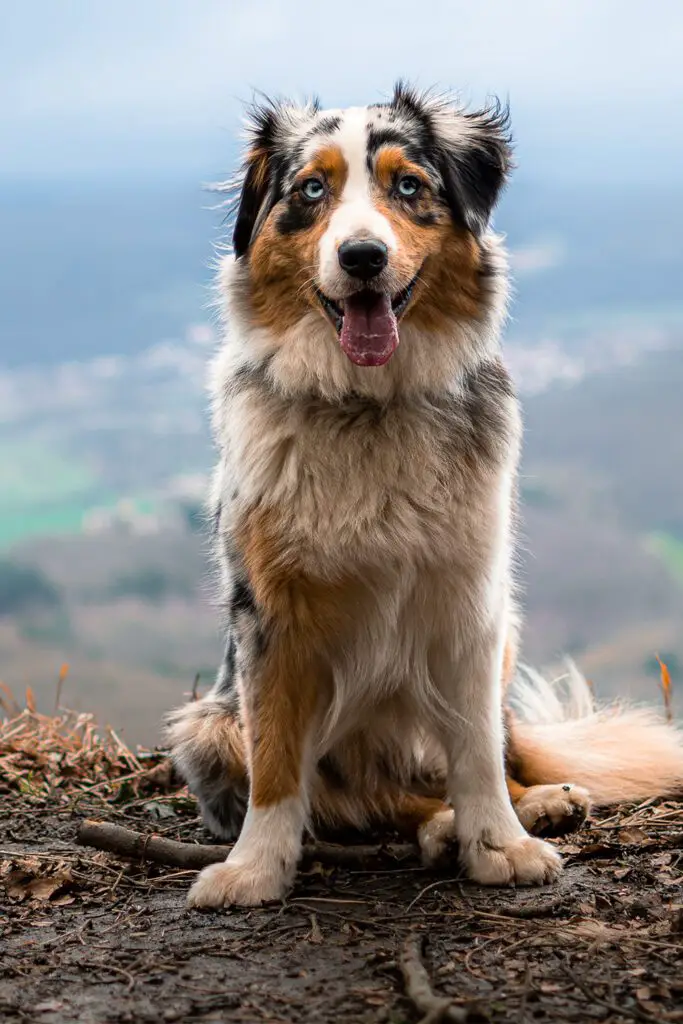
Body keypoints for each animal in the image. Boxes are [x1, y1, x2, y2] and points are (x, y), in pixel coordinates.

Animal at [166, 83, 683, 909]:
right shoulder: (267, 614)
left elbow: (474, 751)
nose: (362, 256)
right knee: (374, 801)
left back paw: (535, 804)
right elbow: (276, 761)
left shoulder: (469, 598)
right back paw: (437, 826)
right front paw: (255, 868)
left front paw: (499, 844)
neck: (368, 406)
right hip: (205, 725)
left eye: (407, 186)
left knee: (479, 761)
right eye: (310, 190)